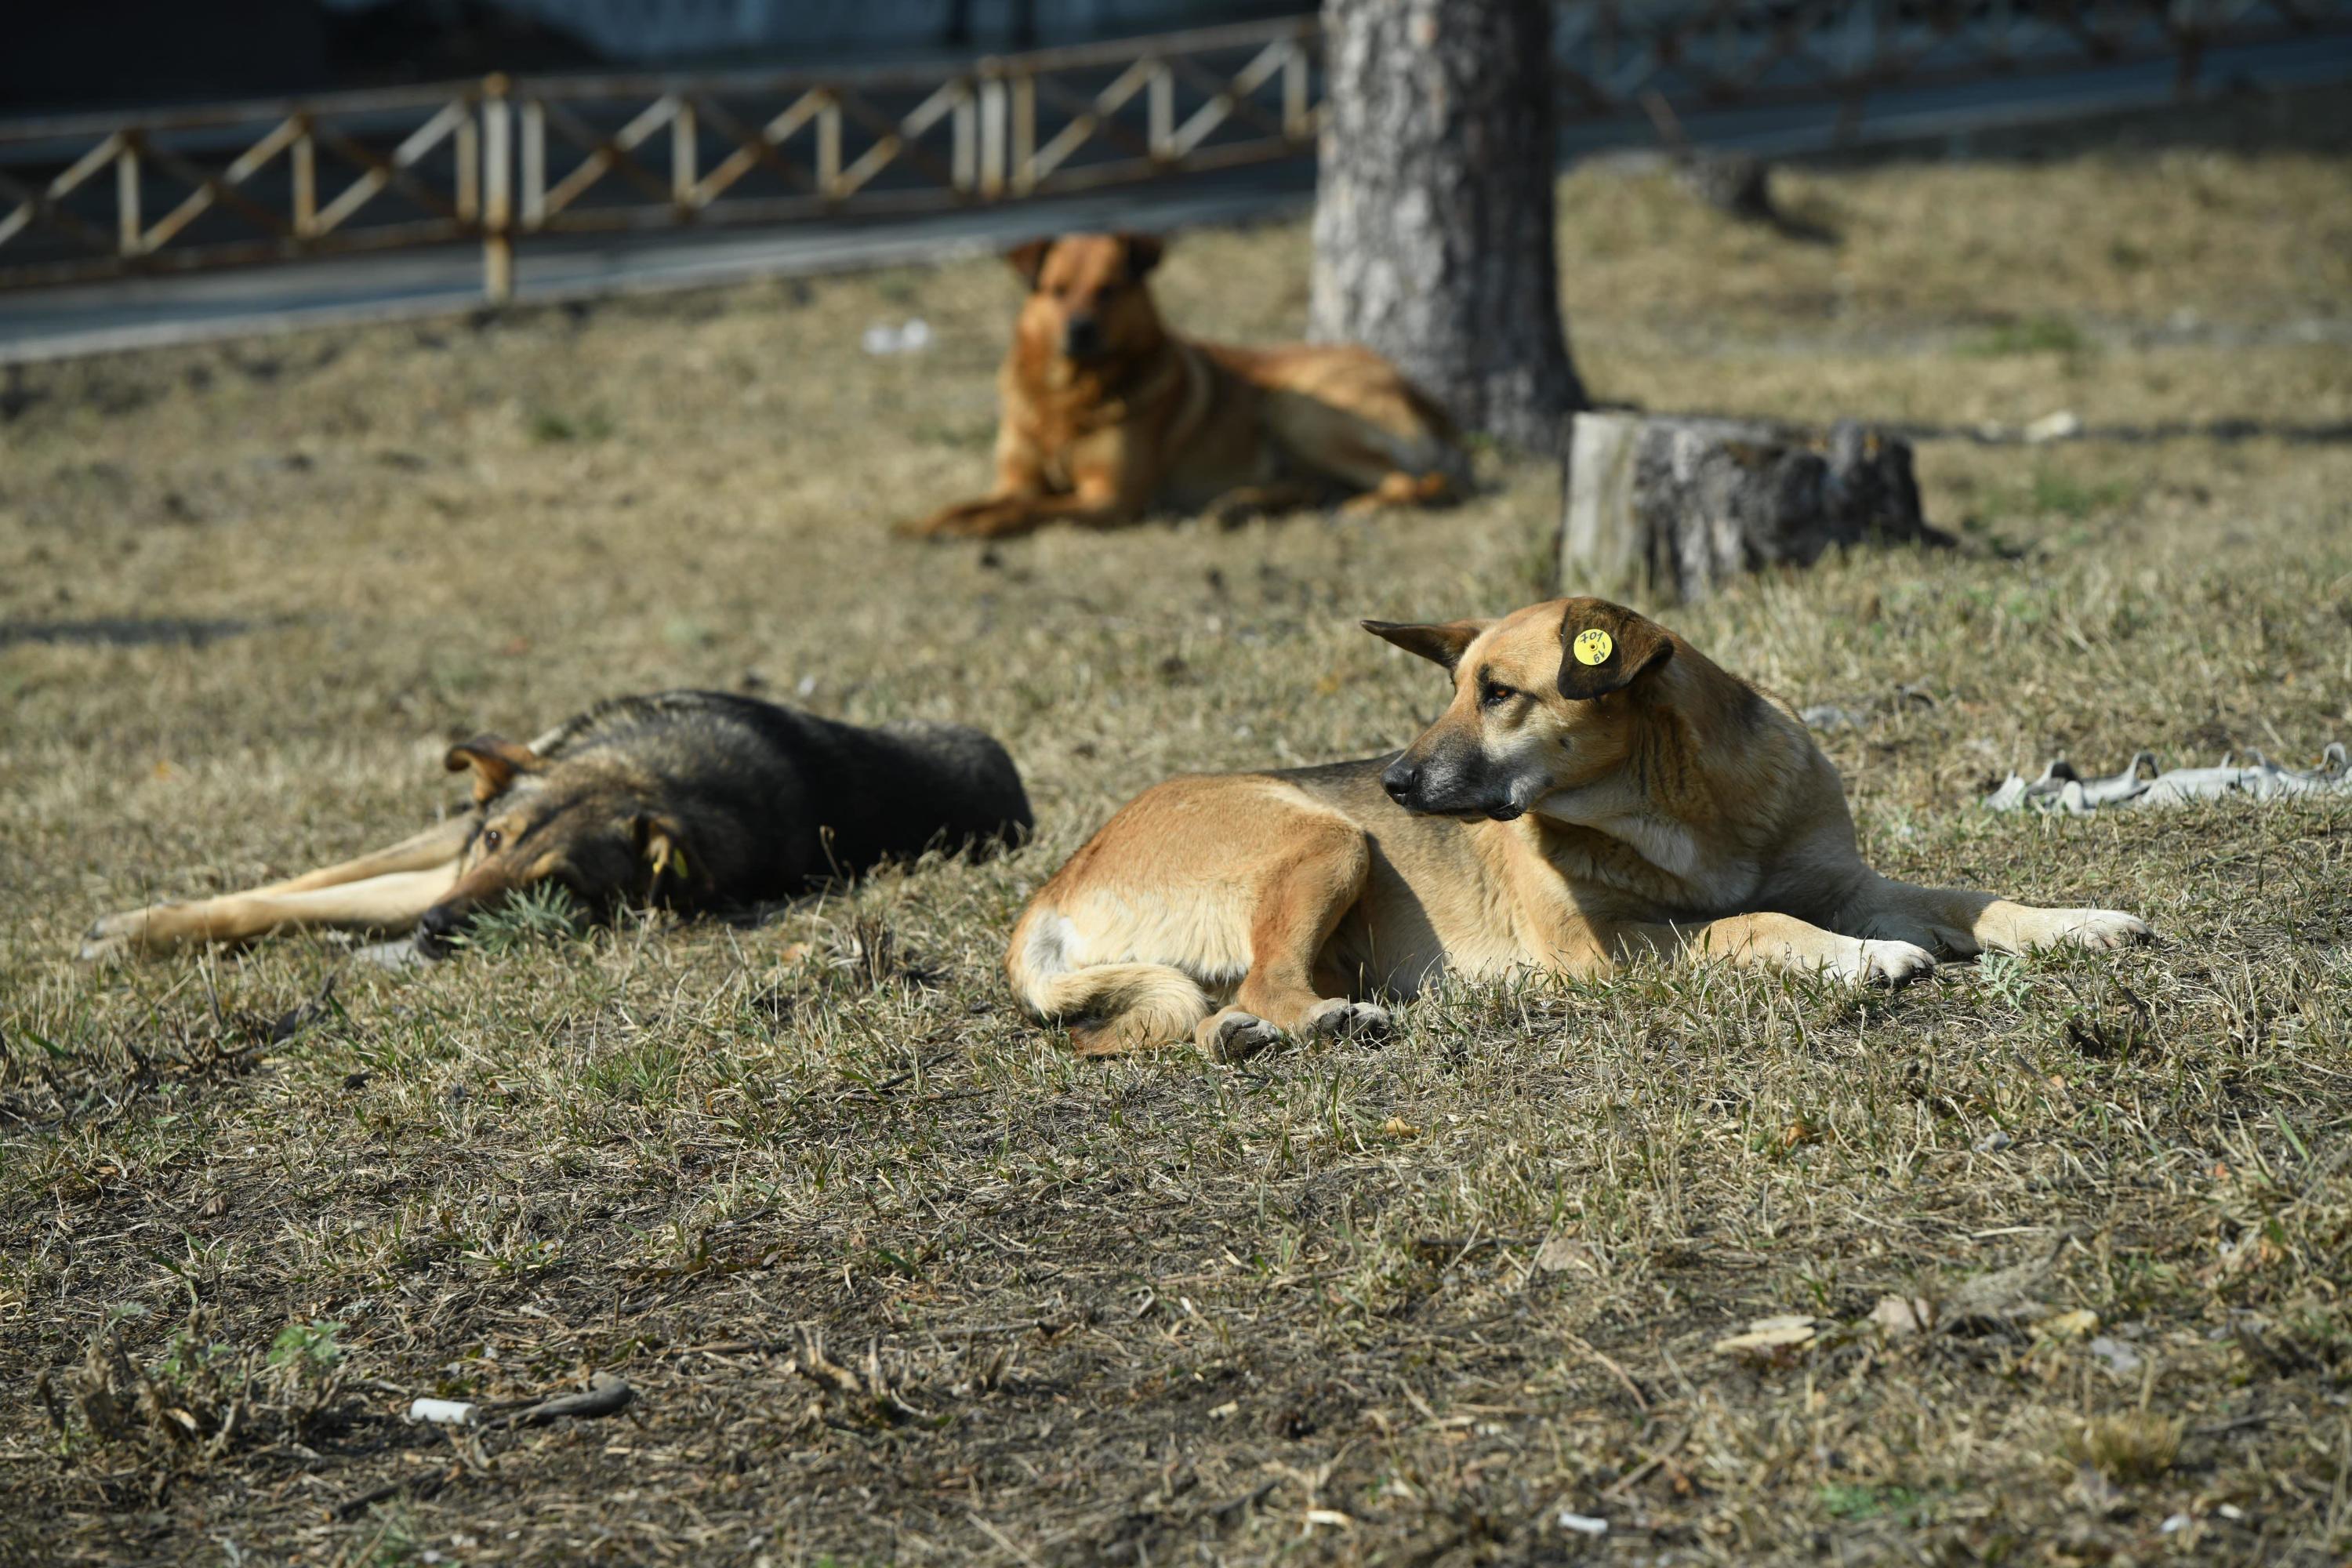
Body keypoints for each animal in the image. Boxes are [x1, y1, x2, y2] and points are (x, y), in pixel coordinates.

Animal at [82, 695, 1030, 964]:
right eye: (496, 842)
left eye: (556, 886)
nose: (434, 931)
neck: (656, 777)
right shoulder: (447, 845)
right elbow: (295, 885)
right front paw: (141, 921)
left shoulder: (433, 877)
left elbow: (304, 902)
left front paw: (136, 935)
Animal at [894, 230, 1458, 543]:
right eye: (1056, 290)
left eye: (1109, 290)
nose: (1078, 330)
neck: (1068, 397)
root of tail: (1417, 390)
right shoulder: (1017, 480)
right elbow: (977, 502)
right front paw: (926, 524)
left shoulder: (1109, 498)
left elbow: (1022, 512)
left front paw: (969, 531)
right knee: (1314, 485)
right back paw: (1240, 506)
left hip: (1296, 408)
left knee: (1417, 483)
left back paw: (1359, 507)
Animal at [1007, 594, 2154, 1062]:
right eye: (1454, 687)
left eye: (1499, 692)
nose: (1395, 781)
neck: (1683, 808)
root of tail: (1052, 889)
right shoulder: (1606, 949)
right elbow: (1753, 925)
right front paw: (1862, 958)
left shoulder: (1850, 879)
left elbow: (1973, 896)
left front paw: (2078, 923)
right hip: (1329, 841)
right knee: (1269, 982)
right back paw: (1327, 1022)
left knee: (1221, 1009)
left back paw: (1248, 1038)